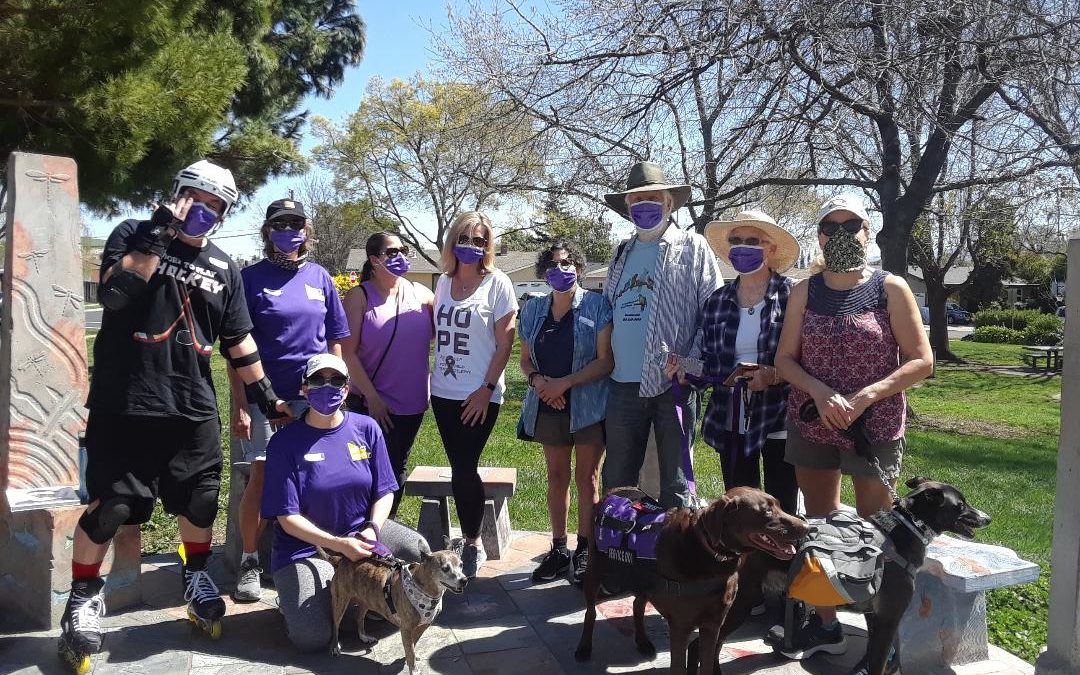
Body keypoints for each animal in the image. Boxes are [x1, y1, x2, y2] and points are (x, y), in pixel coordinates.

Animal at [712, 473, 989, 673]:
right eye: (960, 505)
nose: (988, 518)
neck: (906, 528)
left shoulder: (875, 616)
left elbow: (872, 657)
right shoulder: (889, 619)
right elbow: (877, 663)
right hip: (739, 603)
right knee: (711, 643)